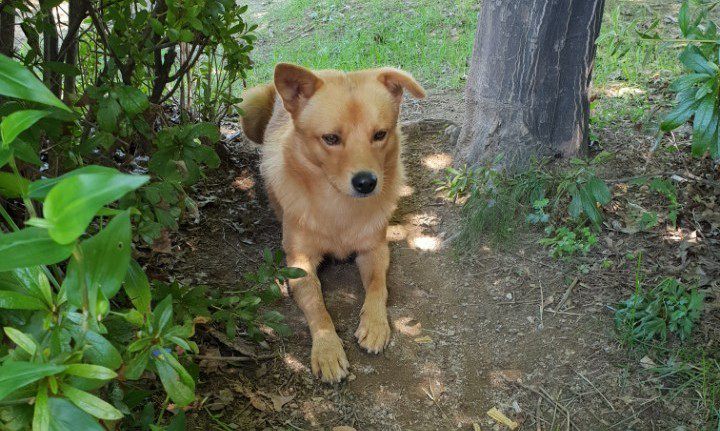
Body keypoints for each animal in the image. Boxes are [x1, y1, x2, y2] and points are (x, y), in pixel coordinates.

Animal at [239, 63, 424, 382]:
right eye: (331, 139)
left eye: (380, 134)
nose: (366, 182)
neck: (338, 205)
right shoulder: (299, 262)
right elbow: (317, 306)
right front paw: (327, 349)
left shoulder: (374, 249)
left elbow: (378, 286)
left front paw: (375, 324)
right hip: (249, 109)